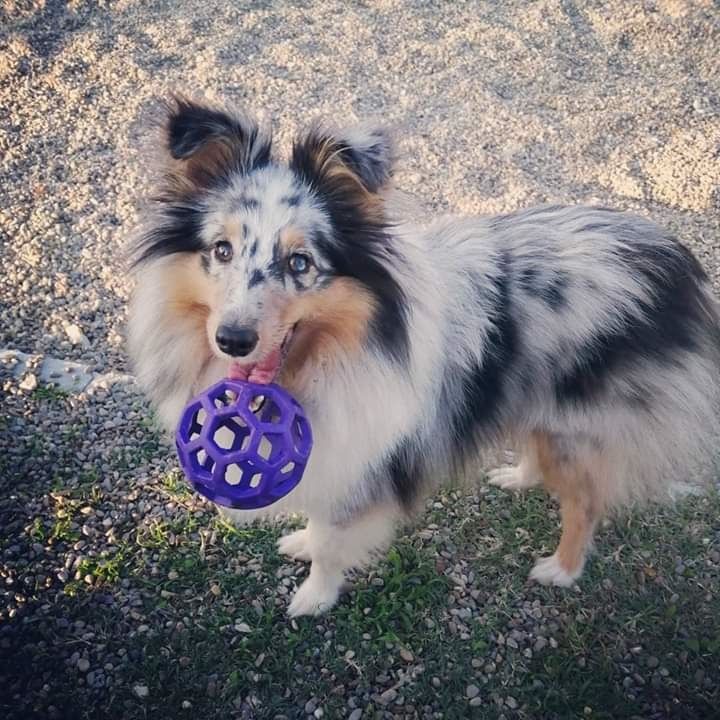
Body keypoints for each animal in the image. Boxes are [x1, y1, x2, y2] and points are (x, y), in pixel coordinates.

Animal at [128, 94, 720, 612]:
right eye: (221, 250)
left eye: (300, 262)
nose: (232, 340)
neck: (333, 354)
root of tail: (672, 259)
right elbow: (318, 524)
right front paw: (301, 543)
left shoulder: (358, 461)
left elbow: (332, 540)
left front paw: (314, 597)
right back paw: (518, 476)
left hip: (579, 431)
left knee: (586, 503)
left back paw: (561, 568)